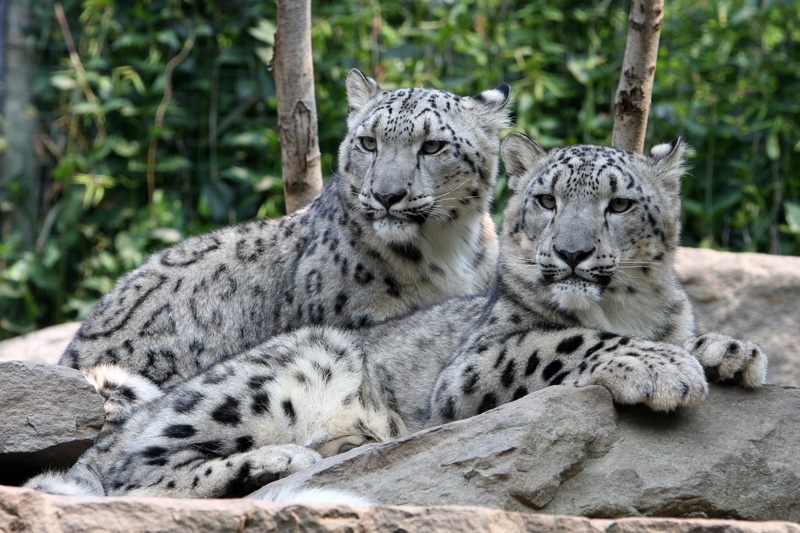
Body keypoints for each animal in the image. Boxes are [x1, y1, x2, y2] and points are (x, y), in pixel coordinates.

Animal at [26, 134, 767, 499]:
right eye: (547, 199)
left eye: (619, 204)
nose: (573, 252)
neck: (624, 303)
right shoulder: (476, 364)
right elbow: (566, 339)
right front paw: (660, 368)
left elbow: (689, 333)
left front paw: (733, 352)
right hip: (276, 371)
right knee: (130, 474)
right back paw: (277, 459)